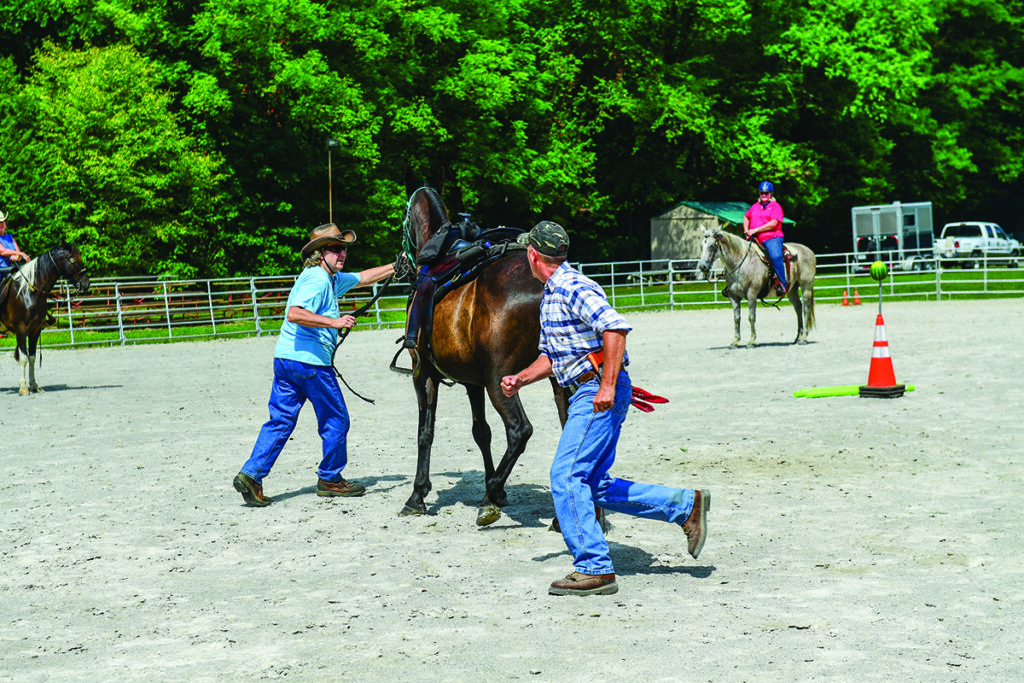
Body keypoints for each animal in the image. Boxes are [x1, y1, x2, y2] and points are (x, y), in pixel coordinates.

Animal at [0, 240, 90, 395]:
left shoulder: (35, 330)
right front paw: (23, 387)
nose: (86, 283)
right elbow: (23, 358)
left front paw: (35, 385)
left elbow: (32, 357)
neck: (29, 291)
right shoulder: (21, 329)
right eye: (73, 260)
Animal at [395, 184, 569, 528]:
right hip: (559, 381)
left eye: (403, 223)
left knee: (519, 430)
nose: (398, 264)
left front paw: (417, 494)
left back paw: (491, 497)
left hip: (500, 381)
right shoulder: (472, 382)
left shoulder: (424, 375)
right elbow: (481, 433)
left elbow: (425, 432)